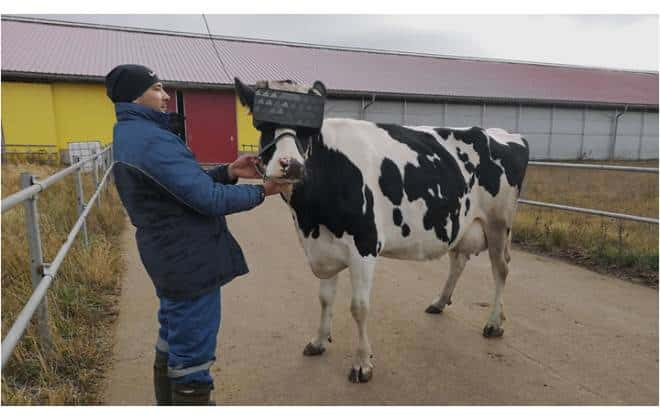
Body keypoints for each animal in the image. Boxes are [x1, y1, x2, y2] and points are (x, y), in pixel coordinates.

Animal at [235, 79, 528, 384]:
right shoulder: (323, 248)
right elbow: (325, 298)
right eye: (264, 126)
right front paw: (318, 341)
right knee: (458, 261)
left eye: (309, 130)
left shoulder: (364, 245)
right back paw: (440, 302)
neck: (311, 219)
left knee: (501, 269)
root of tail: (504, 134)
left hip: (498, 223)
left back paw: (493, 323)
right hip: (462, 222)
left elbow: (359, 307)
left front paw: (362, 363)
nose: (290, 164)